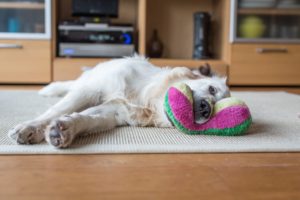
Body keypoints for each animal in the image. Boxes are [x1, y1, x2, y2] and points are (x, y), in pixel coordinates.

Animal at [9, 55, 230, 148]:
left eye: (218, 110)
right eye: (212, 89)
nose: (206, 109)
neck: (144, 97)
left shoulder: (113, 112)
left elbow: (85, 119)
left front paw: (64, 129)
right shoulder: (90, 91)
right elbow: (55, 111)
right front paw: (30, 127)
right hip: (87, 81)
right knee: (69, 88)